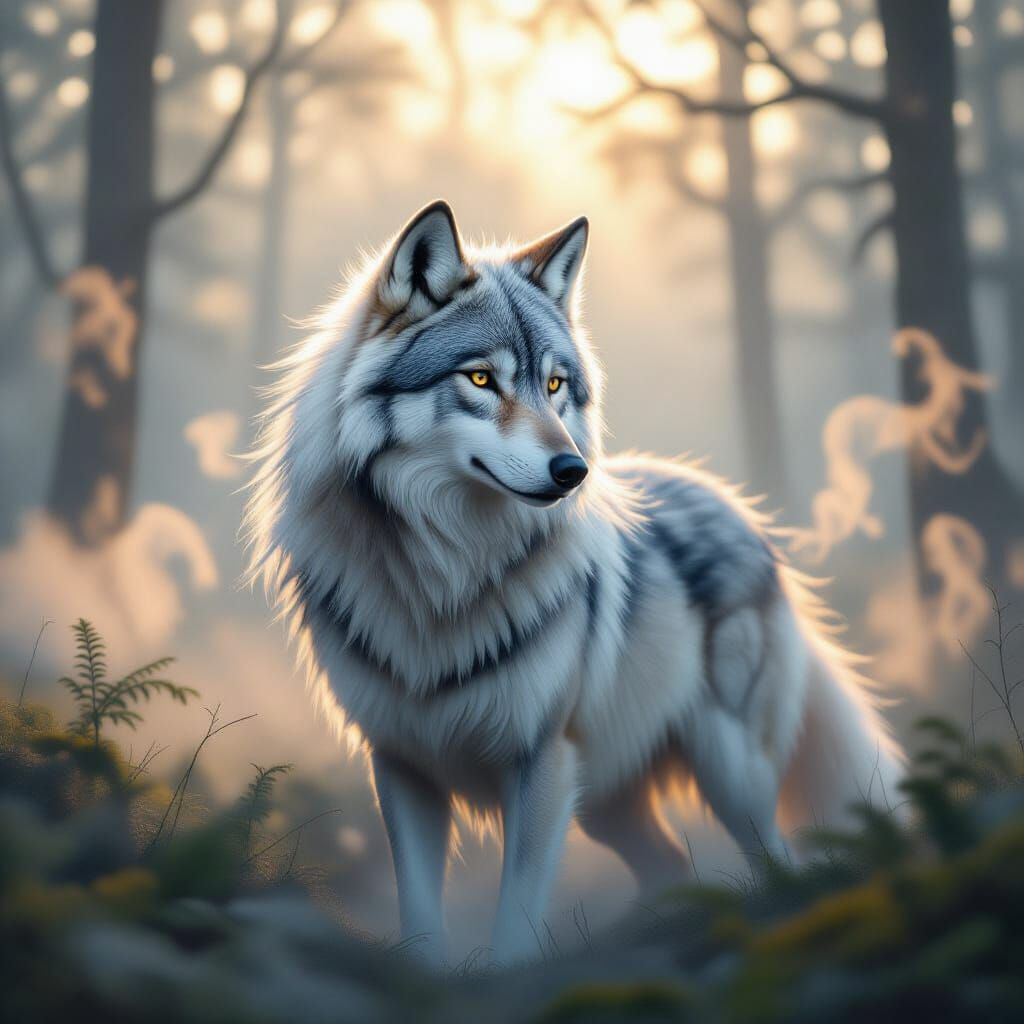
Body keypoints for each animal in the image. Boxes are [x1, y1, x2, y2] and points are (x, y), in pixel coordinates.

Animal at [244, 200, 904, 965]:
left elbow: (517, 916)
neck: (445, 574)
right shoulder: (402, 765)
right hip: (609, 803)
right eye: (480, 380)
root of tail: (741, 510)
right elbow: (420, 915)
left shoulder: (541, 763)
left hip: (726, 770)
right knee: (669, 865)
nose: (573, 471)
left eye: (556, 385)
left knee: (777, 865)